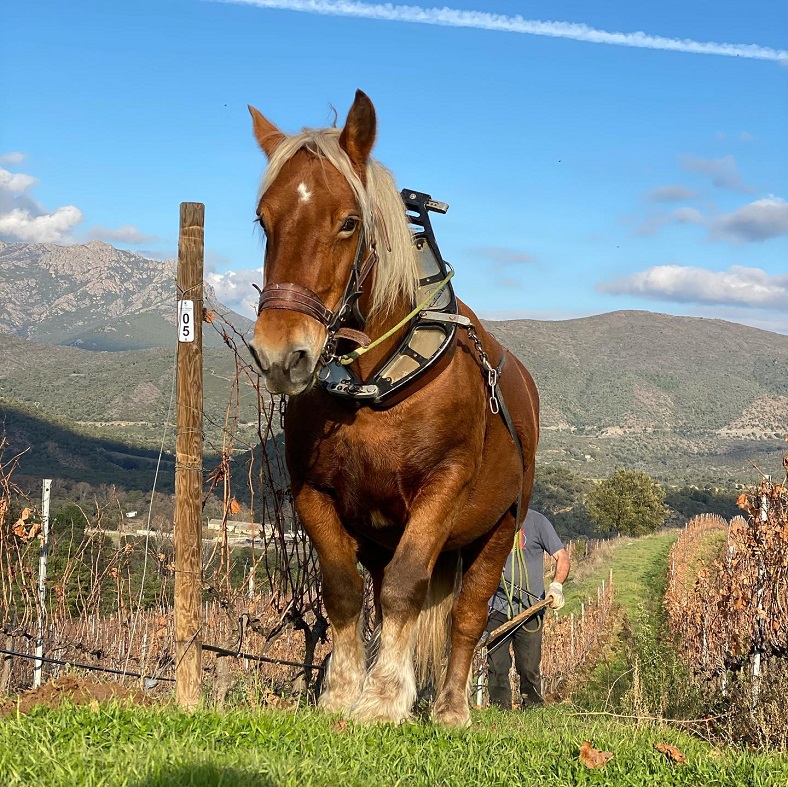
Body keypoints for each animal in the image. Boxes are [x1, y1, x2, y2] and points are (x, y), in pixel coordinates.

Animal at [249, 91, 540, 728]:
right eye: (263, 219)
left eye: (348, 222)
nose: (282, 354)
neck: (373, 386)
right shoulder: (315, 493)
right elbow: (342, 590)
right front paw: (341, 691)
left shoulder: (444, 487)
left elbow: (408, 587)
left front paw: (384, 698)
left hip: (501, 526)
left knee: (467, 615)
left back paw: (452, 706)